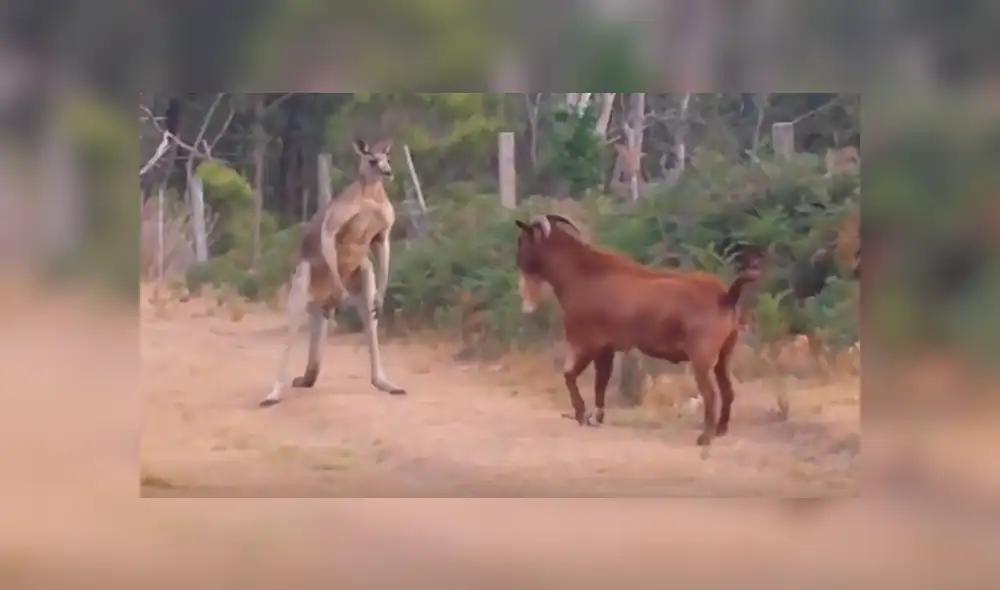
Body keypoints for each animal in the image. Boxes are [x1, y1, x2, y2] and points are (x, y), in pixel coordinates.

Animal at [261, 138, 405, 407]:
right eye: (372, 160)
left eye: (388, 159)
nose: (388, 173)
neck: (369, 194)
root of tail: (324, 305)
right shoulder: (333, 221)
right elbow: (328, 237)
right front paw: (340, 286)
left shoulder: (383, 232)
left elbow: (383, 246)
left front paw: (382, 295)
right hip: (303, 276)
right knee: (293, 324)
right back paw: (273, 394)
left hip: (363, 273)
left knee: (370, 317)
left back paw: (387, 383)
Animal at [514, 214, 759, 446]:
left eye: (523, 240)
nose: (518, 261)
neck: (582, 273)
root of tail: (725, 296)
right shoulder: (607, 348)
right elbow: (601, 381)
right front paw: (597, 416)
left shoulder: (588, 343)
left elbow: (570, 375)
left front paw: (582, 414)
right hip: (724, 354)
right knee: (727, 390)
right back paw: (720, 430)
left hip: (701, 357)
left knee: (710, 394)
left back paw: (705, 437)